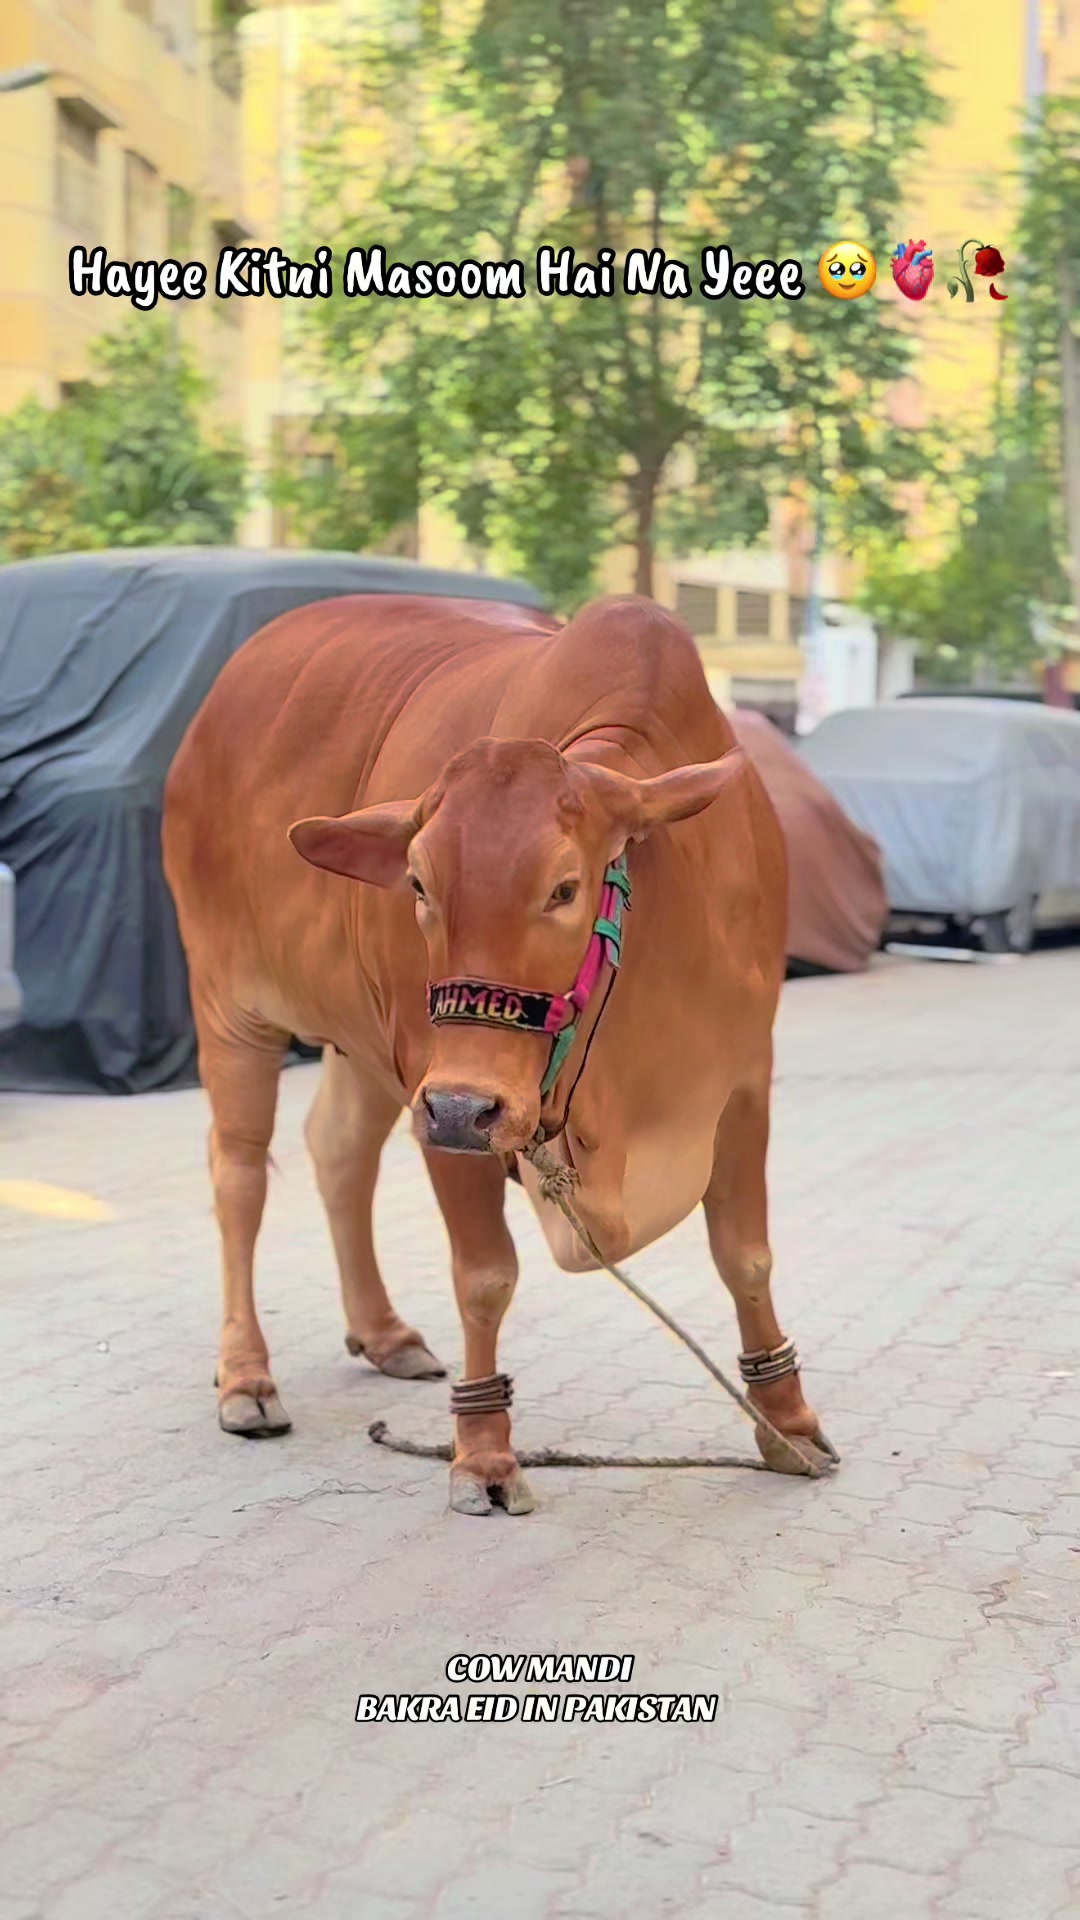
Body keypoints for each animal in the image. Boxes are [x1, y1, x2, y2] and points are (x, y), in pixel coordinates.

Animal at [162, 592, 833, 1514]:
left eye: (564, 887)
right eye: (416, 883)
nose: (462, 1105)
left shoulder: (743, 1083)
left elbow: (747, 1257)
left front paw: (787, 1420)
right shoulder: (439, 1093)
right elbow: (484, 1276)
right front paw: (481, 1452)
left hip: (367, 1044)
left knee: (338, 1151)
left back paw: (383, 1332)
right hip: (233, 1007)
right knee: (238, 1178)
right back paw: (246, 1377)